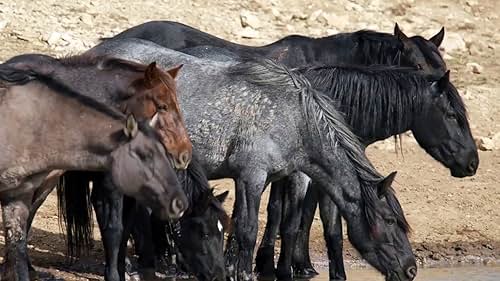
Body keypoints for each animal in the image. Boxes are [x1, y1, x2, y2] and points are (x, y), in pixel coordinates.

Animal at [4, 52, 194, 278]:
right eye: (163, 106)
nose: (184, 154)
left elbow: (123, 230)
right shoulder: (106, 187)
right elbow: (113, 230)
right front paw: (113, 274)